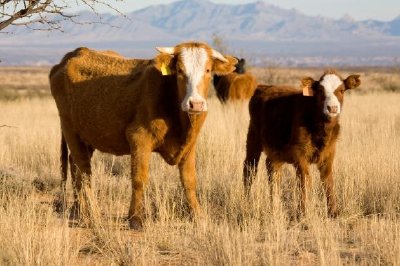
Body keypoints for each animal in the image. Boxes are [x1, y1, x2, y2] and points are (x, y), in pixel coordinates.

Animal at [49, 41, 238, 229]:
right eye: (180, 70)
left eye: (208, 70)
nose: (195, 104)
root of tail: (71, 56)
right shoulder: (139, 138)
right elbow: (139, 178)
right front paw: (136, 218)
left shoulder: (189, 146)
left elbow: (189, 181)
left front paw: (198, 216)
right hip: (70, 129)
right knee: (84, 171)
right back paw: (92, 214)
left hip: (87, 136)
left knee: (75, 167)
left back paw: (79, 209)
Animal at [242, 69, 360, 217]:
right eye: (320, 90)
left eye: (342, 90)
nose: (332, 108)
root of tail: (263, 86)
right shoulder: (300, 155)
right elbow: (304, 182)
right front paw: (303, 214)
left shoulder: (329, 154)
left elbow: (328, 181)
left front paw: (333, 212)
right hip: (253, 139)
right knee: (249, 170)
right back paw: (247, 204)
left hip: (275, 150)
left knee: (273, 171)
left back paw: (275, 207)